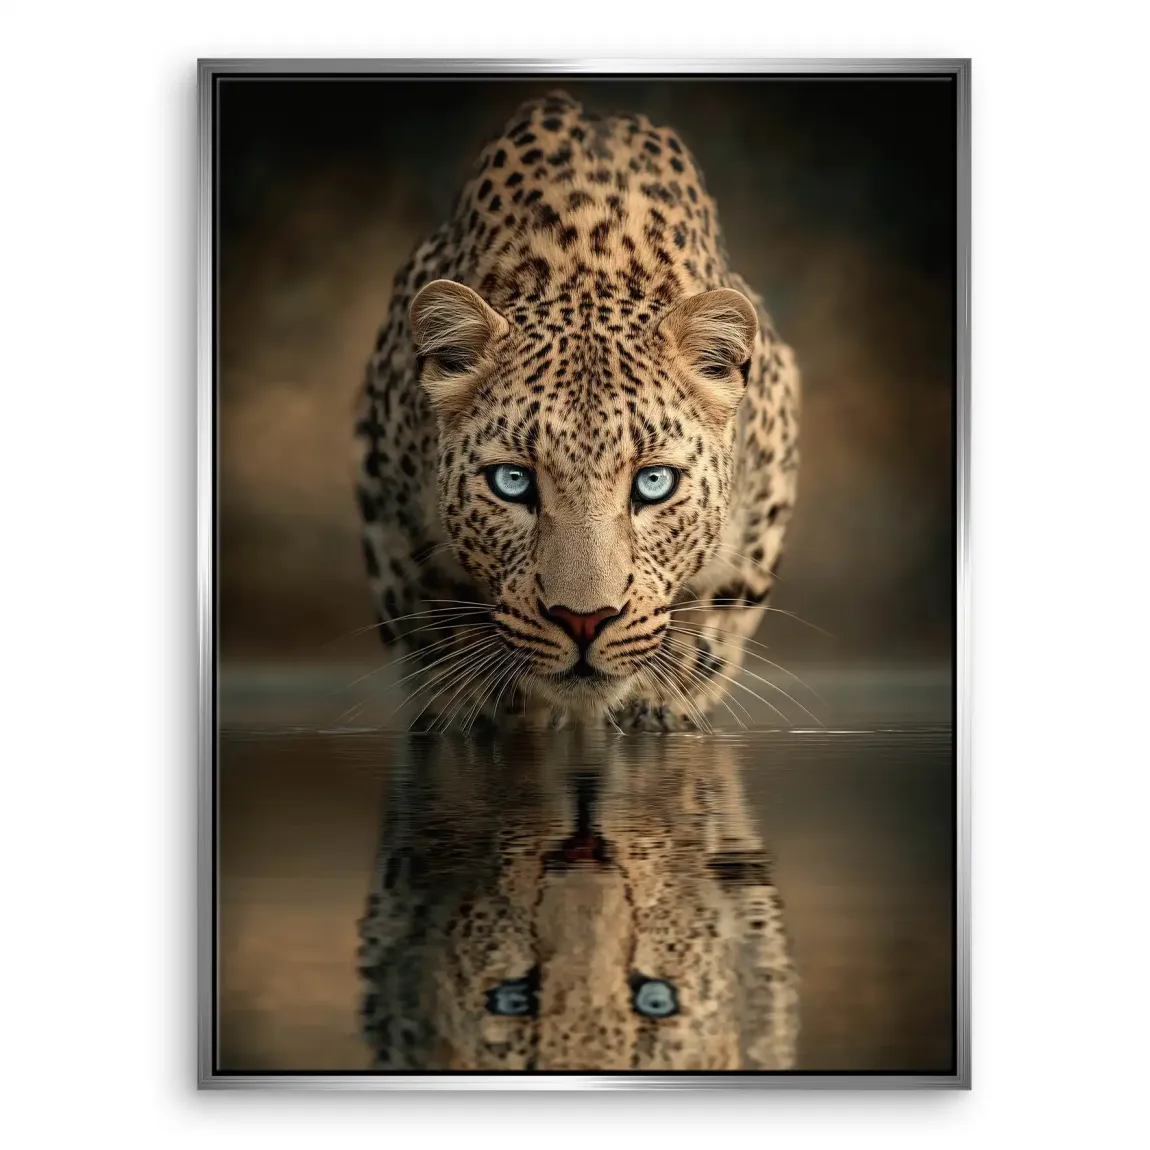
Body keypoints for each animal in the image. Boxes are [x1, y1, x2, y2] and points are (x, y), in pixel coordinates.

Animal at [354, 89, 801, 732]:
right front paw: (480, 709)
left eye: (655, 483)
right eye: (512, 482)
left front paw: (658, 704)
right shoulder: (389, 515)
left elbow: (711, 625)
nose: (584, 620)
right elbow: (434, 633)